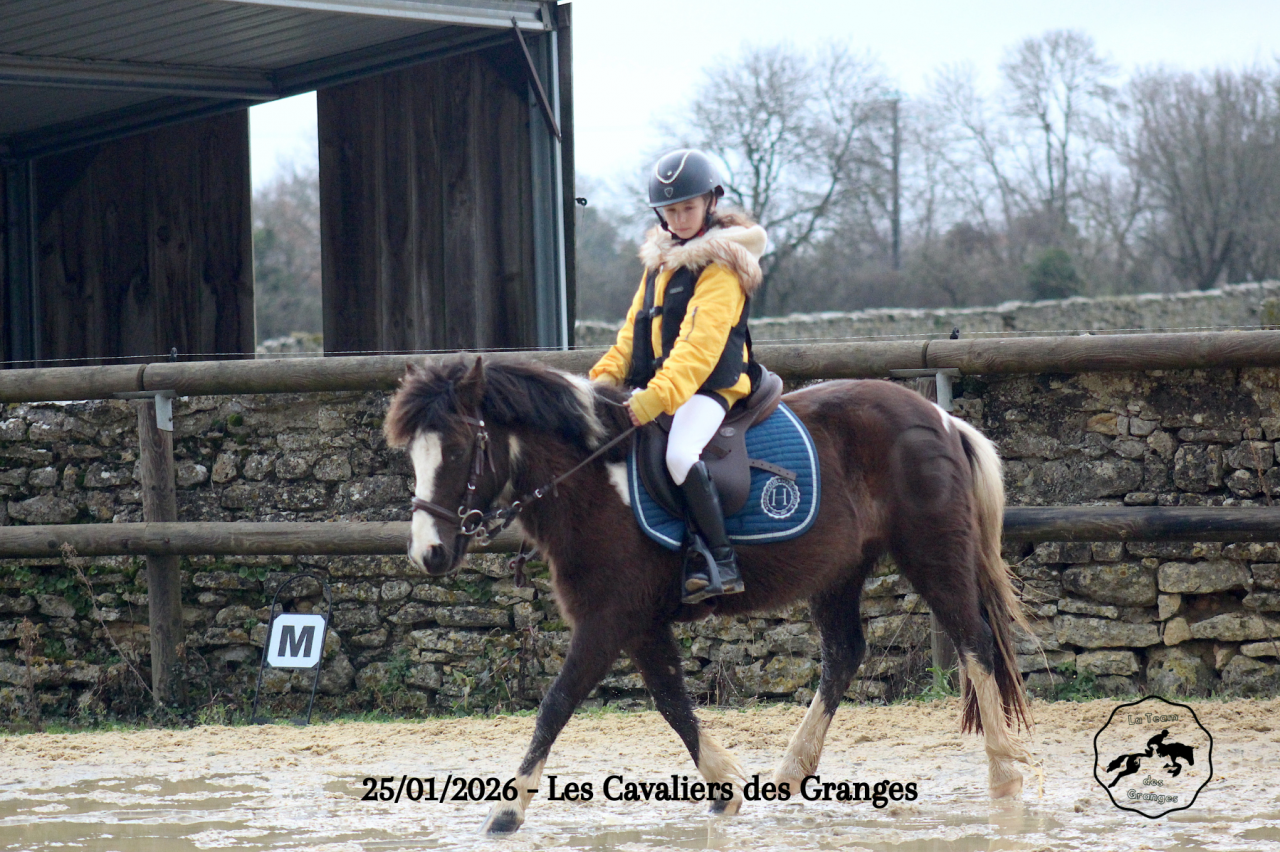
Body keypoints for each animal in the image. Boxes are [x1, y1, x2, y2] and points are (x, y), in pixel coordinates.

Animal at [384, 356, 1036, 834]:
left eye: (459, 448)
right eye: (413, 454)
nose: (428, 554)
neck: (593, 481)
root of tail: (941, 418)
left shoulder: (606, 622)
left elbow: (556, 704)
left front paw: (507, 809)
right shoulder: (639, 625)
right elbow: (672, 701)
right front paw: (725, 786)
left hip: (932, 554)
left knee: (974, 642)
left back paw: (1004, 773)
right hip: (840, 571)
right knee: (844, 654)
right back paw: (790, 773)